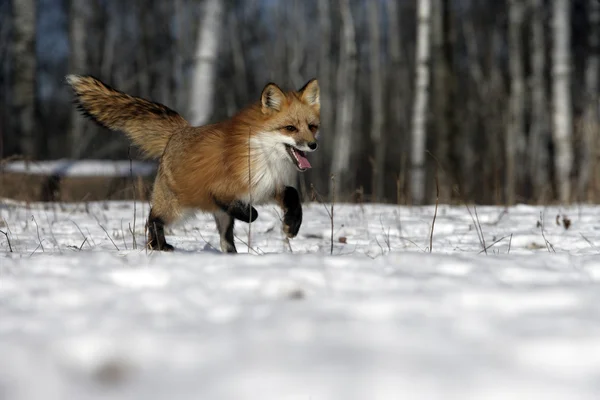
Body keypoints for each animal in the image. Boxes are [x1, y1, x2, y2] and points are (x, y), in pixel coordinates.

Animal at [67, 75, 318, 253]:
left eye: (312, 127)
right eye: (290, 128)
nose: (313, 145)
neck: (263, 156)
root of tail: (180, 130)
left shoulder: (266, 187)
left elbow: (293, 194)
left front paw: (292, 225)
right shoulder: (220, 191)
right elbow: (251, 214)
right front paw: (253, 215)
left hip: (217, 218)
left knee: (226, 241)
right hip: (176, 208)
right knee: (152, 219)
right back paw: (158, 246)